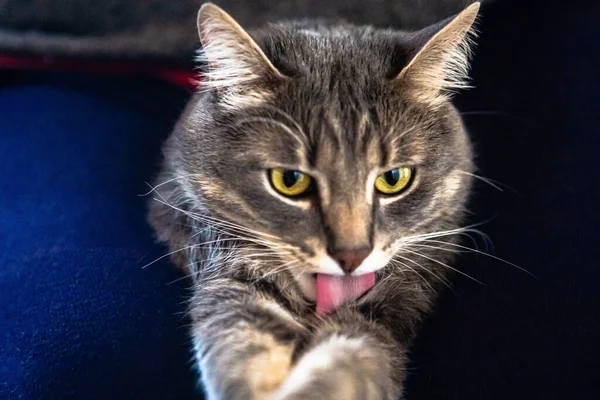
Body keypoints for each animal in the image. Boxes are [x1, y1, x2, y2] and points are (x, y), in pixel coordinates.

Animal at [150, 1, 482, 398]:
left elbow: (355, 357)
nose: (352, 257)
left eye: (393, 179)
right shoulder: (222, 256)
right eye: (290, 181)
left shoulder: (402, 294)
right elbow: (240, 333)